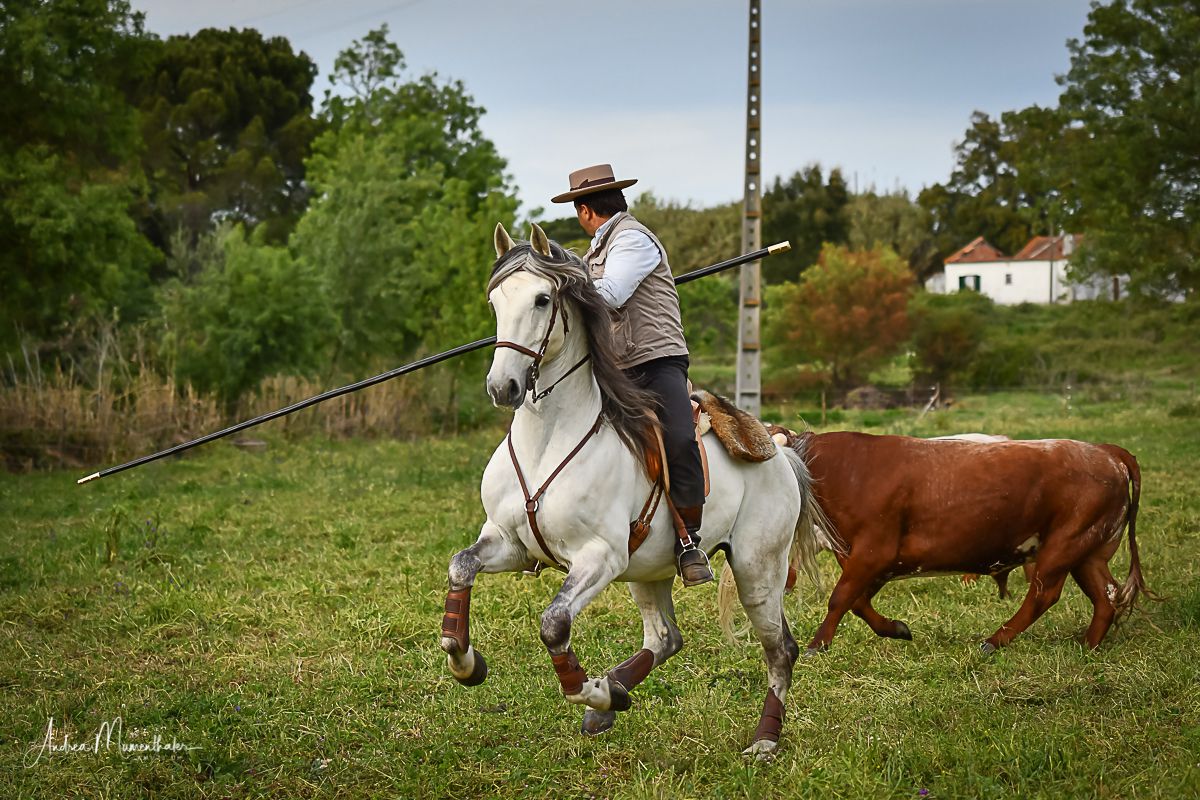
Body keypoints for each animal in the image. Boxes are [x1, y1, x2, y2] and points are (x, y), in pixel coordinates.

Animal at [441, 224, 825, 758]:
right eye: (496, 300)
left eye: (542, 299)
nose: (504, 387)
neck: (549, 441)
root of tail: (778, 448)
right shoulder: (509, 543)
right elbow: (461, 566)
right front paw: (465, 662)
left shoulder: (599, 557)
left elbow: (554, 624)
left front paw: (594, 690)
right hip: (650, 567)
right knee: (665, 638)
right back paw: (613, 697)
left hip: (757, 568)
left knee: (780, 649)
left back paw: (763, 740)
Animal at [792, 434, 1147, 652]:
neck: (845, 470)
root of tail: (1104, 451)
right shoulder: (866, 560)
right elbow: (857, 601)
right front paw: (896, 628)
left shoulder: (873, 551)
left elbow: (841, 598)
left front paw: (817, 646)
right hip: (1087, 551)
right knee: (1106, 595)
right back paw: (1088, 645)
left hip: (1064, 544)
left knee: (1044, 594)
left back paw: (996, 640)